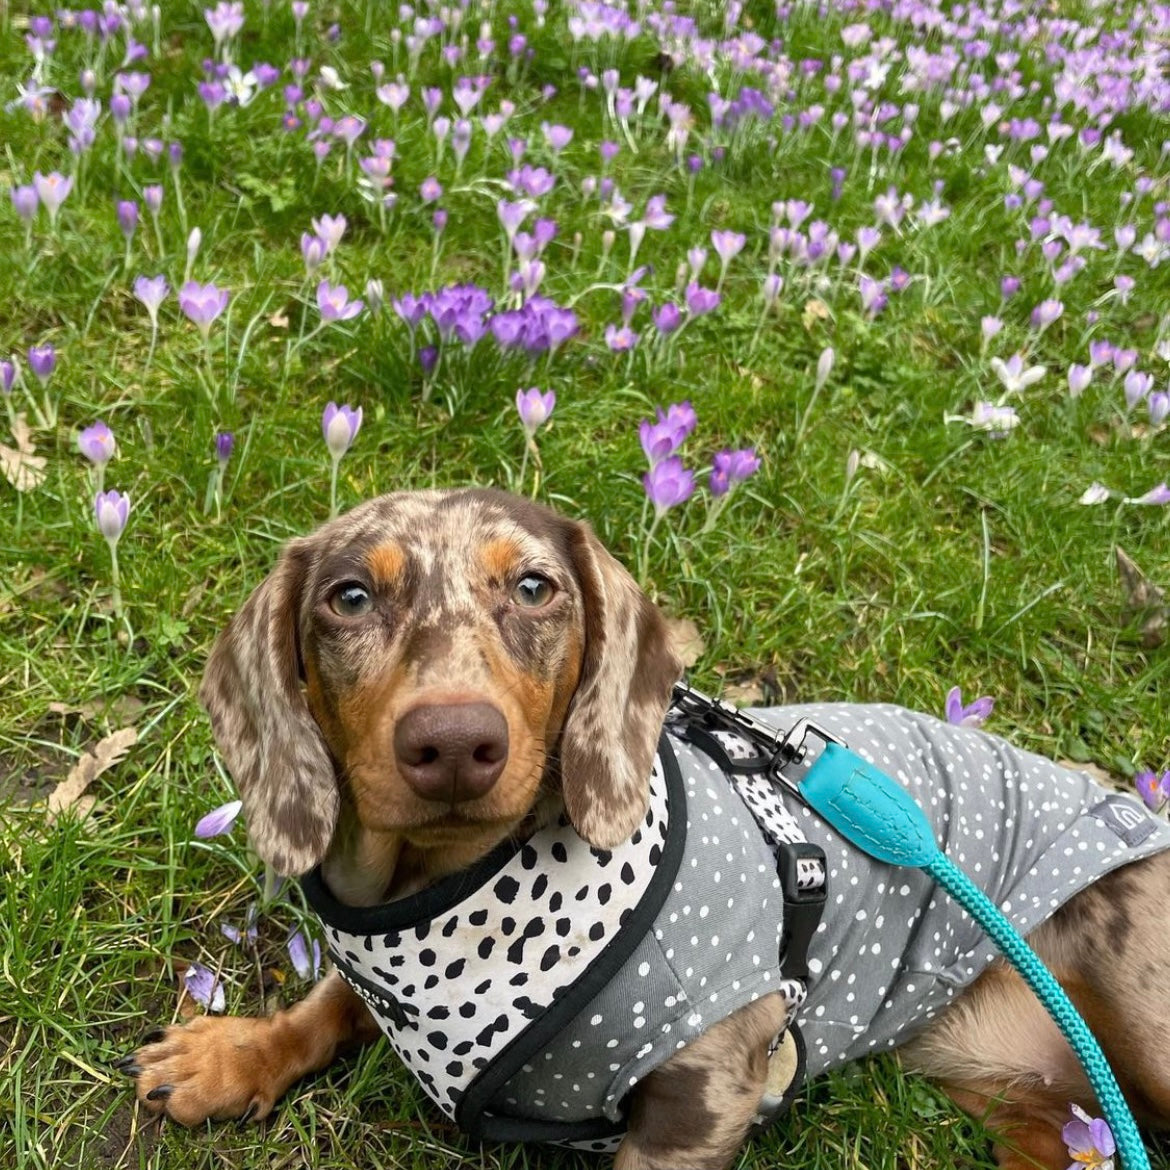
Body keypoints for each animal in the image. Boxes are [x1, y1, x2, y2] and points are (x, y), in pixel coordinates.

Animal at [120, 488, 1170, 1169]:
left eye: (535, 587)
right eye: (348, 596)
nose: (454, 743)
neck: (452, 886)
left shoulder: (704, 1096)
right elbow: (333, 1004)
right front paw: (234, 1056)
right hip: (1024, 1100)